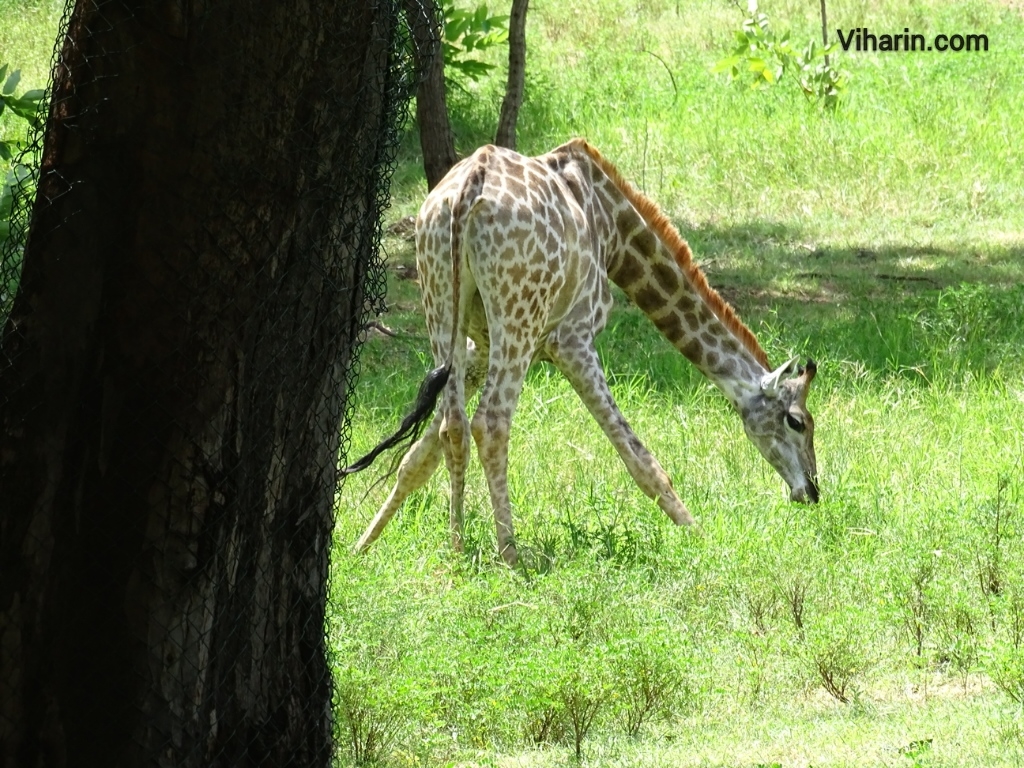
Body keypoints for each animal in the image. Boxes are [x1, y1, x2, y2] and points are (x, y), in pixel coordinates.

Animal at [348, 138, 819, 569]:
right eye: (797, 421)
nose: (812, 491)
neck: (614, 232)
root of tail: (468, 189)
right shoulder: (570, 338)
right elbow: (640, 458)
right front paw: (700, 538)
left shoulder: (478, 345)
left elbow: (418, 456)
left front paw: (361, 546)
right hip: (518, 316)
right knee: (491, 423)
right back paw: (511, 556)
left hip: (443, 302)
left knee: (454, 425)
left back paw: (459, 550)